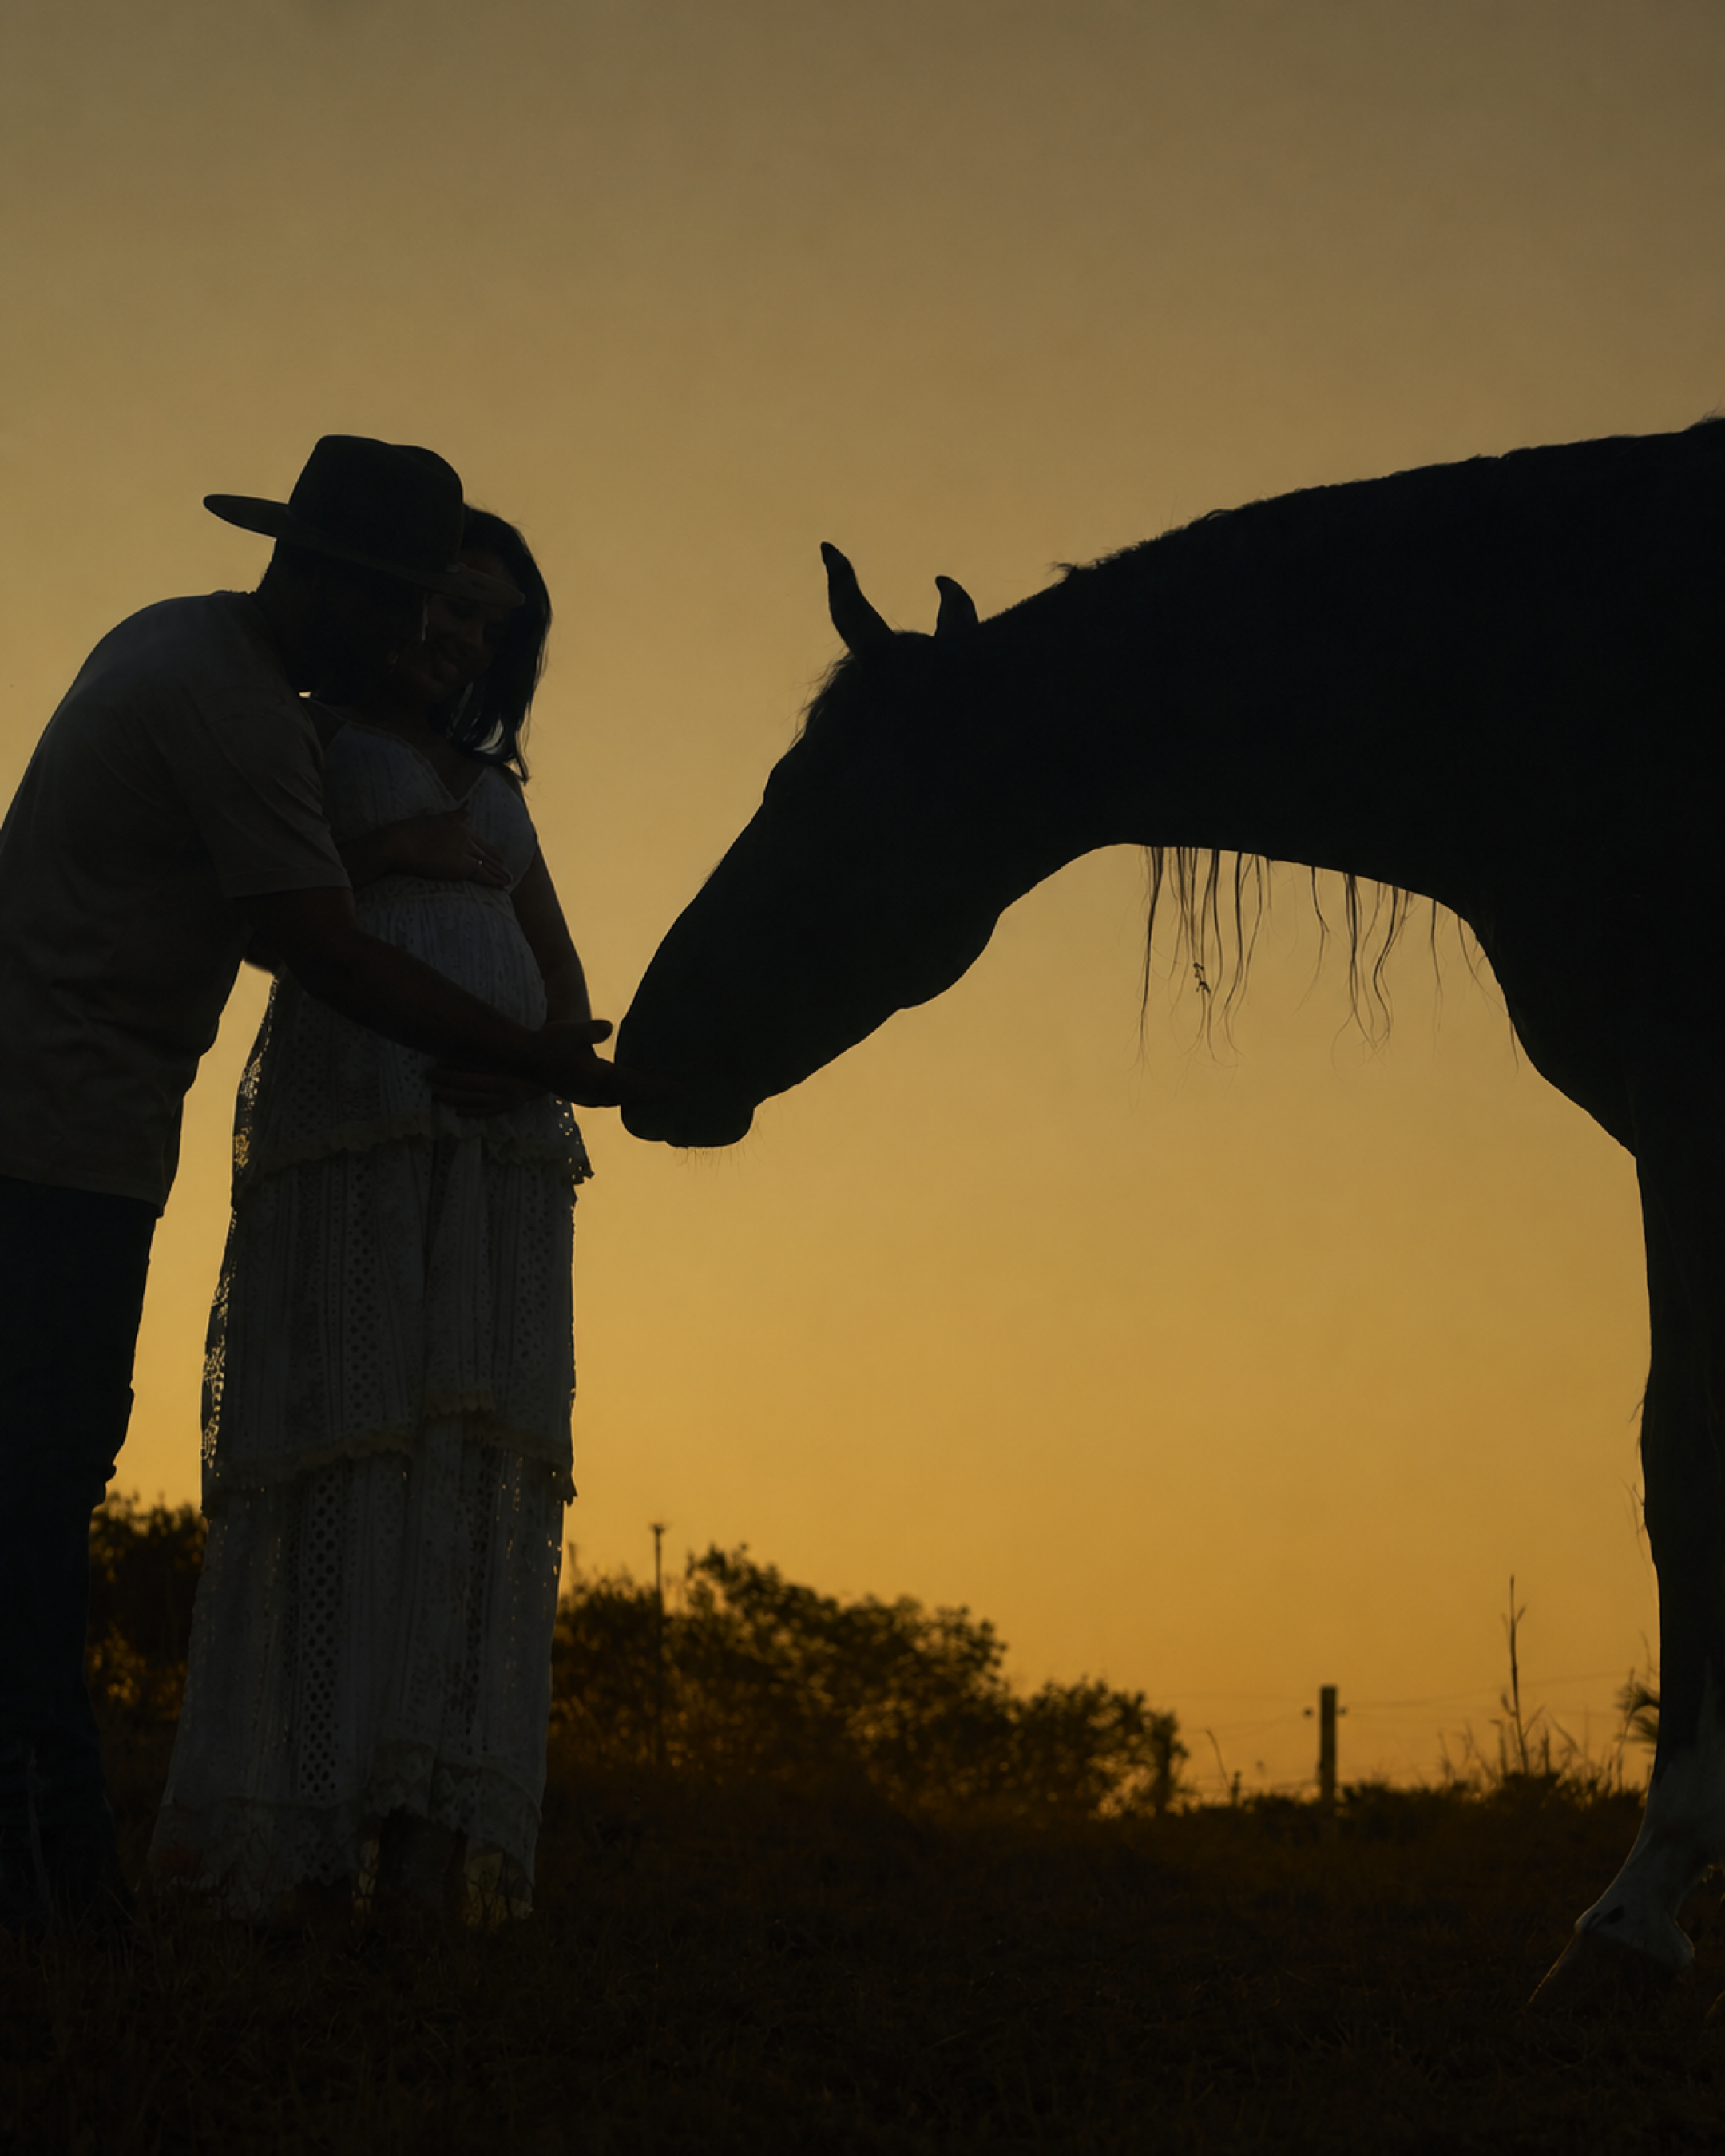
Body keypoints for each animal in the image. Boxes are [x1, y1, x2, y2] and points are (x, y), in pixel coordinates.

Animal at [618, 421, 1725, 2007]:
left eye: (822, 794)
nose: (643, 1051)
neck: (1582, 662)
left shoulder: (1686, 1102)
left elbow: (1681, 1458)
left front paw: (1633, 1916)